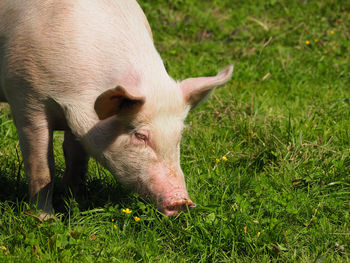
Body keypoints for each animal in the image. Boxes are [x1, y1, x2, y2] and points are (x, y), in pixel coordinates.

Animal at [1, 0, 234, 219]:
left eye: (179, 136)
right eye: (140, 136)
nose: (181, 201)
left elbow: (76, 156)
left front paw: (72, 199)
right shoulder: (26, 95)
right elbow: (41, 166)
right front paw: (46, 219)